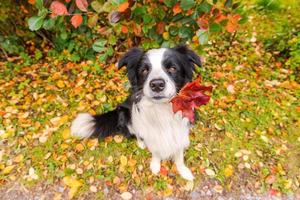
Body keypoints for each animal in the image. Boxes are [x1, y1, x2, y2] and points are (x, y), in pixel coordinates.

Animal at [70, 45, 202, 180]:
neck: (162, 110)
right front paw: (155, 165)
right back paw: (141, 143)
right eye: (144, 70)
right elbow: (155, 151)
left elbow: (179, 155)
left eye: (172, 68)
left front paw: (183, 171)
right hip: (126, 115)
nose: (157, 84)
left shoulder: (181, 131)